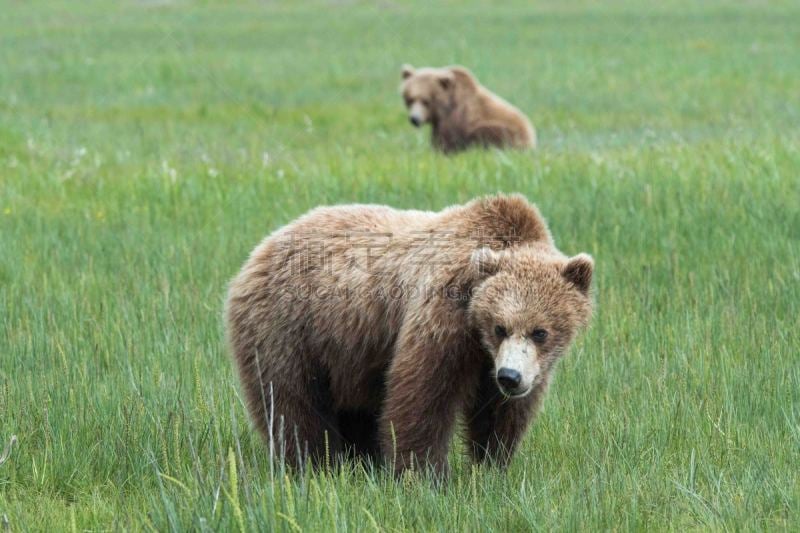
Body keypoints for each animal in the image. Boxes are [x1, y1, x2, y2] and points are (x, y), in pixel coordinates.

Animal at [225, 193, 592, 476]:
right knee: (292, 403)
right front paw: (425, 475)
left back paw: (361, 463)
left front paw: (491, 466)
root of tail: (260, 248)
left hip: (350, 354)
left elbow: (499, 413)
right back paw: (311, 465)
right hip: (289, 329)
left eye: (540, 332)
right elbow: (422, 395)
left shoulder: (510, 364)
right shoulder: (445, 315)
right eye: (499, 327)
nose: (510, 377)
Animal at [400, 64, 536, 154]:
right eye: (410, 99)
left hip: (504, 132)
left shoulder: (455, 117)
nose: (414, 119)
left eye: (426, 101)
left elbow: (445, 141)